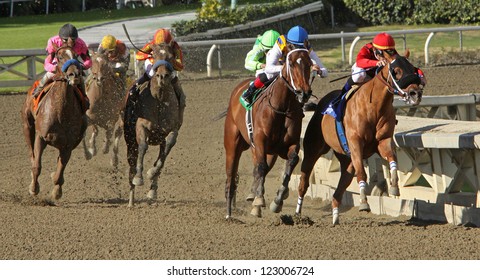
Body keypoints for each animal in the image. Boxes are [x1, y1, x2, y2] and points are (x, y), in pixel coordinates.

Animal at [21, 44, 87, 200]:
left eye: (76, 55)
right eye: (60, 56)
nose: (74, 74)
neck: (60, 112)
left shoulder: (68, 144)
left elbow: (59, 172)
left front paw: (57, 191)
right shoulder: (41, 137)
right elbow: (37, 166)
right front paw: (33, 188)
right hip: (27, 125)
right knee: (32, 154)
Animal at [124, 42, 182, 207]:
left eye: (171, 56)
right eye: (153, 55)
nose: (162, 76)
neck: (159, 100)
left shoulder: (172, 130)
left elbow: (165, 153)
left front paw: (151, 173)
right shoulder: (141, 127)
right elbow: (143, 147)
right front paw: (139, 177)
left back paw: (152, 191)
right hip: (130, 141)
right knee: (132, 163)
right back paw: (131, 199)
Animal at [224, 48, 316, 219]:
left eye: (309, 63)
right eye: (291, 63)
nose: (304, 93)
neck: (282, 108)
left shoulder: (289, 144)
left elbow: (292, 161)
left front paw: (279, 199)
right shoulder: (260, 142)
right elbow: (260, 167)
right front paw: (259, 199)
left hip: (268, 152)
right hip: (232, 144)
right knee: (231, 176)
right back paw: (229, 213)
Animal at [296, 50, 424, 225]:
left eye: (412, 68)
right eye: (396, 71)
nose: (415, 94)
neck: (373, 107)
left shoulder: (383, 141)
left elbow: (392, 160)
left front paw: (394, 187)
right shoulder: (356, 144)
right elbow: (362, 173)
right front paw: (364, 203)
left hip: (347, 160)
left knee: (339, 190)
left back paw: (335, 218)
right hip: (313, 149)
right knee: (303, 182)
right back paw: (297, 214)